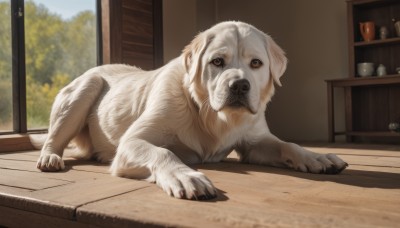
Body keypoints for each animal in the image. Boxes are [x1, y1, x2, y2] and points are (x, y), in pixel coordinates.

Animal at [36, 21, 346, 200]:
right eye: (217, 61)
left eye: (256, 63)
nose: (239, 85)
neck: (211, 116)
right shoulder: (131, 142)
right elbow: (163, 152)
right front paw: (185, 176)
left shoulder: (254, 143)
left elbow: (287, 145)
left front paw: (317, 157)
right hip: (87, 86)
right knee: (53, 138)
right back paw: (50, 157)